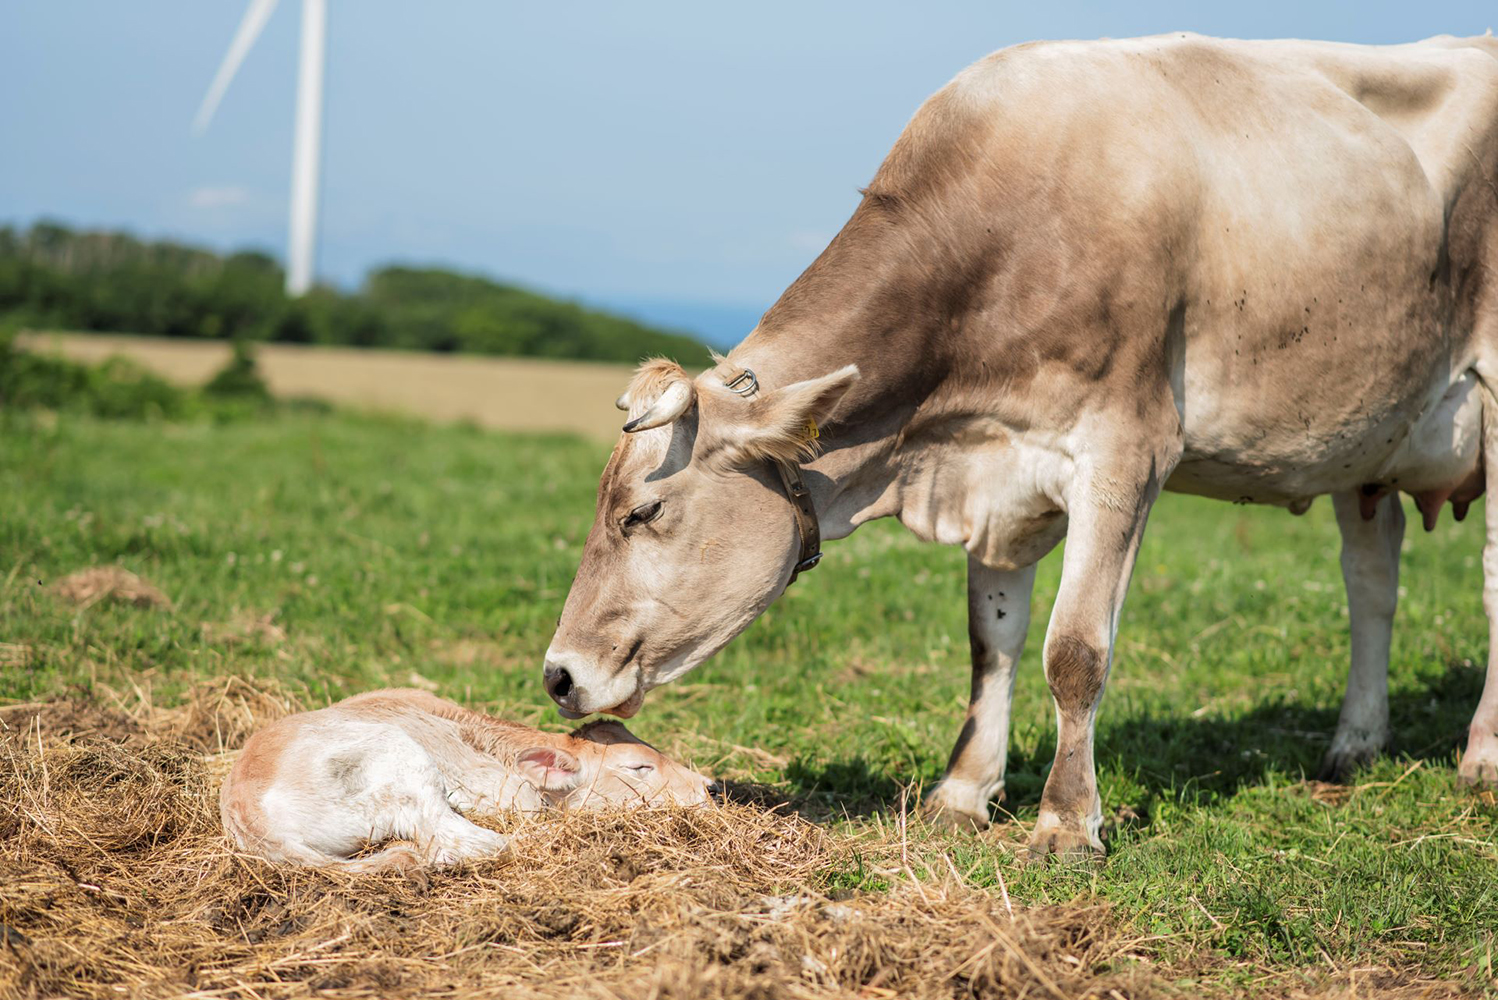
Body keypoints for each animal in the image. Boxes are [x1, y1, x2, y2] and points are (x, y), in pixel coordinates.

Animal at [542, 33, 1498, 862]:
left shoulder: (1123, 450)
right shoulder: (997, 472)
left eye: (641, 512)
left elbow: (1073, 652)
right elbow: (990, 641)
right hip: (1368, 440)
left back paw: (1480, 761)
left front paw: (1067, 823)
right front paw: (963, 792)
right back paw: (1354, 745)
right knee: (1372, 583)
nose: (556, 676)